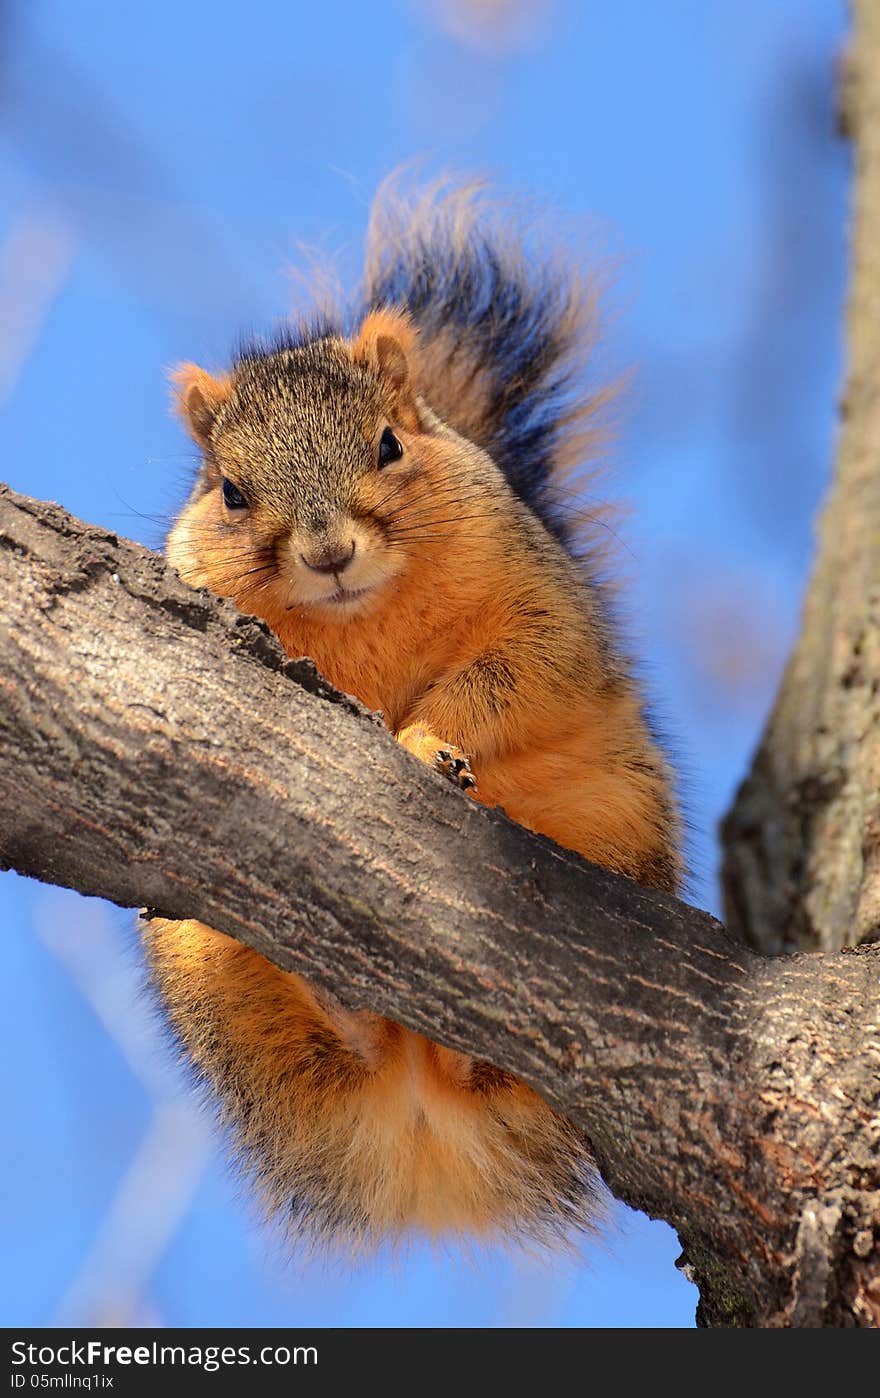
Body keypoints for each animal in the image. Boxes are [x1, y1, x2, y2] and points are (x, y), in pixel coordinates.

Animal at [146, 177, 679, 1258]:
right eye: (230, 492)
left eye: (390, 443)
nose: (328, 552)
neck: (364, 616)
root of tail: (423, 1113)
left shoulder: (540, 610)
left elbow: (511, 684)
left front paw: (425, 741)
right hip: (202, 962)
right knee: (337, 1042)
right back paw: (343, 999)